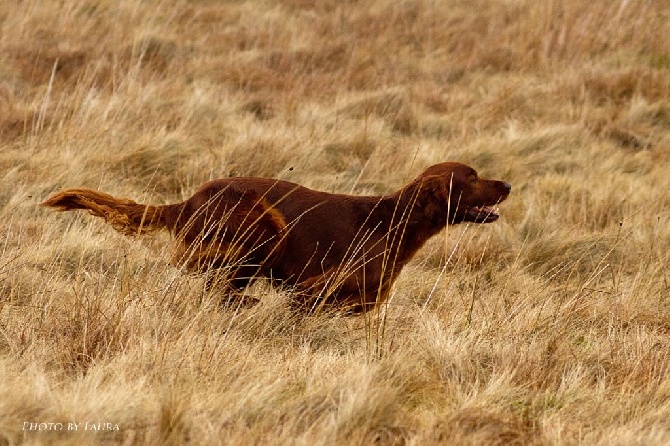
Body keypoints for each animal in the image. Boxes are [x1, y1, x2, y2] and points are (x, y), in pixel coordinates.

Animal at [42, 162, 512, 312]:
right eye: (471, 178)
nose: (507, 184)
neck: (392, 220)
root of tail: (190, 200)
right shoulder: (316, 285)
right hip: (265, 222)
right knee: (212, 278)